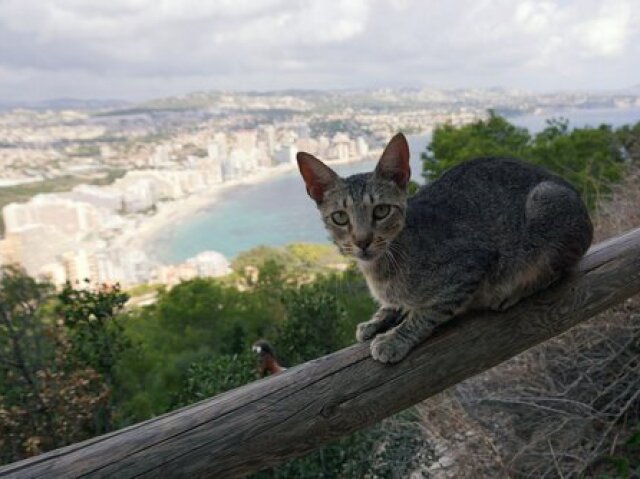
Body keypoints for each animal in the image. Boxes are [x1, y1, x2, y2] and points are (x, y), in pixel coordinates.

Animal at [298, 131, 592, 364]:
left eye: (381, 211)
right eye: (340, 217)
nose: (362, 241)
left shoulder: (469, 266)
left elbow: (426, 313)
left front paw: (394, 339)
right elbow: (394, 305)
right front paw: (377, 320)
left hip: (546, 201)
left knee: (557, 270)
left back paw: (513, 293)